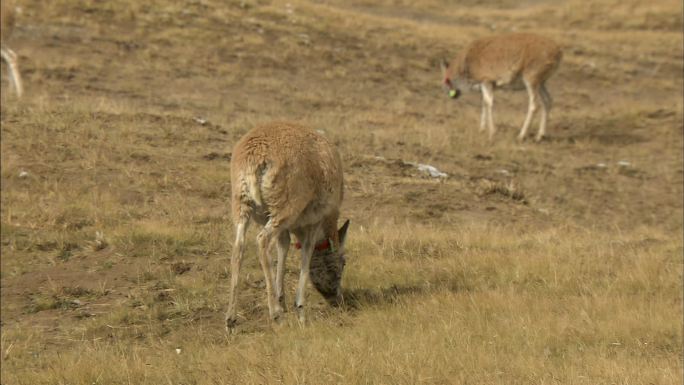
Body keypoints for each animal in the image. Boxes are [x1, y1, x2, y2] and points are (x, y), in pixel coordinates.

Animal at [227, 120, 350, 328]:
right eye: (343, 263)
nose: (338, 301)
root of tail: (256, 155)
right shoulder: (315, 222)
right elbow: (306, 255)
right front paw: (298, 309)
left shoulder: (283, 228)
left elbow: (283, 247)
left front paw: (281, 299)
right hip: (284, 208)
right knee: (262, 240)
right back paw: (274, 313)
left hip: (243, 207)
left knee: (238, 248)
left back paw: (230, 318)